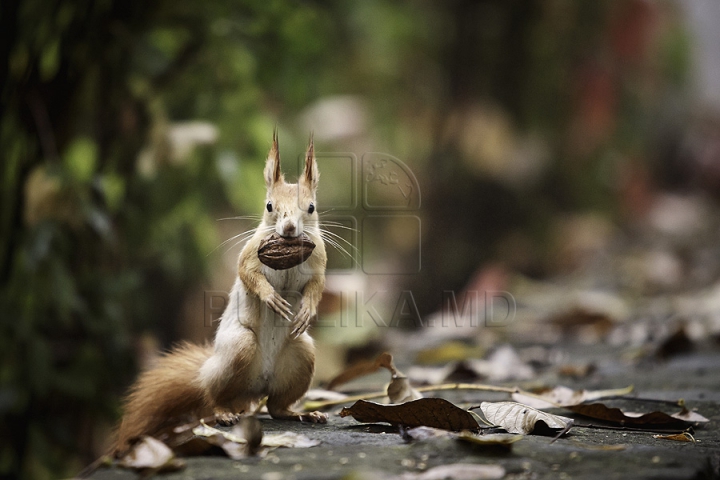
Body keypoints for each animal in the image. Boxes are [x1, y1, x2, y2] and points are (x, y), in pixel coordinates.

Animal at [114, 133, 328, 456]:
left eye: (312, 207)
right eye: (269, 206)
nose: (290, 228)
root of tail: (256, 386)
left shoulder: (317, 262)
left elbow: (316, 288)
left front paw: (306, 311)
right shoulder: (250, 254)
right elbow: (249, 275)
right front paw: (270, 297)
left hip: (301, 355)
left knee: (276, 407)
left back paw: (301, 413)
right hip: (238, 349)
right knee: (212, 398)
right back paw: (223, 413)